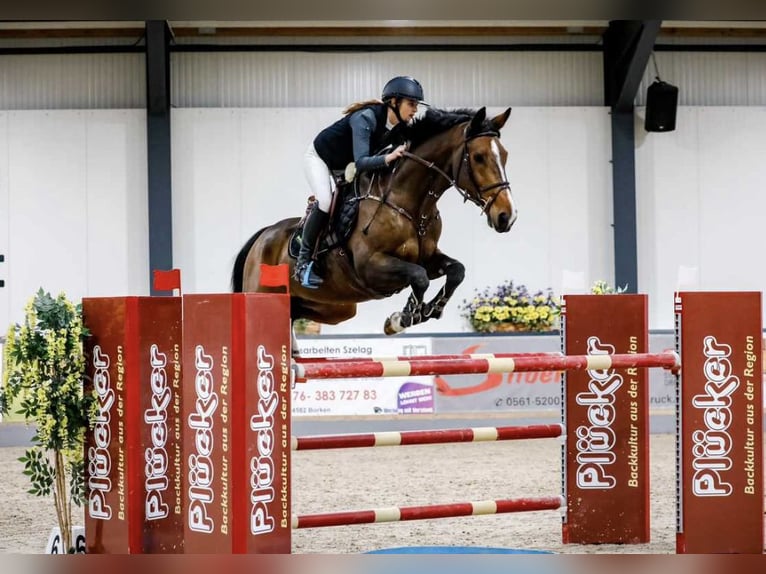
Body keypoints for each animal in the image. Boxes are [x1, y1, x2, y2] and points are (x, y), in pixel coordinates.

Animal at [231, 106, 520, 336]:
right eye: (479, 157)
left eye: (505, 155)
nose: (507, 216)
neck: (410, 204)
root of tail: (263, 236)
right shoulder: (371, 266)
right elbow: (420, 277)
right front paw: (403, 318)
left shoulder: (428, 257)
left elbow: (456, 271)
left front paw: (427, 310)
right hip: (265, 294)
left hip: (337, 307)